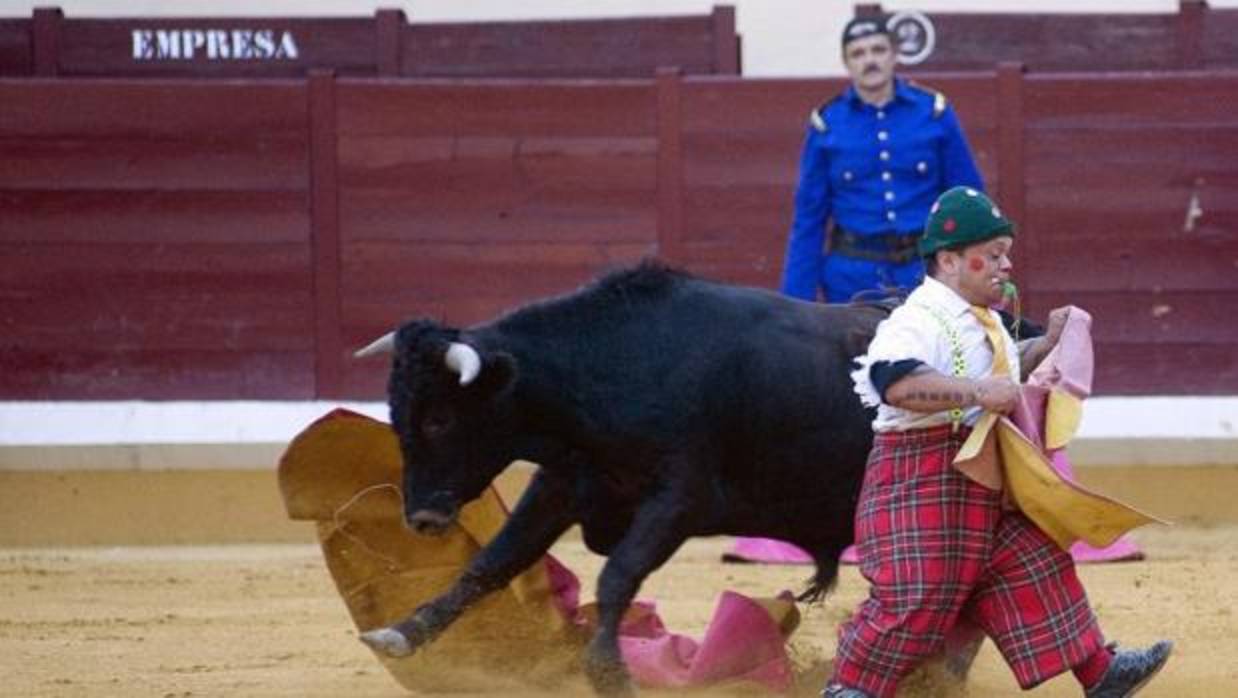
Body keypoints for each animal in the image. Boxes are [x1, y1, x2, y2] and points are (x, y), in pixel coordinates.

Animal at [356, 262, 891, 693]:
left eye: (438, 419)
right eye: (396, 414)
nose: (422, 517)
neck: (613, 367)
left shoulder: (680, 499)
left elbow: (618, 574)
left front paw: (608, 670)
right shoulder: (560, 484)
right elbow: (493, 561)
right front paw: (403, 632)